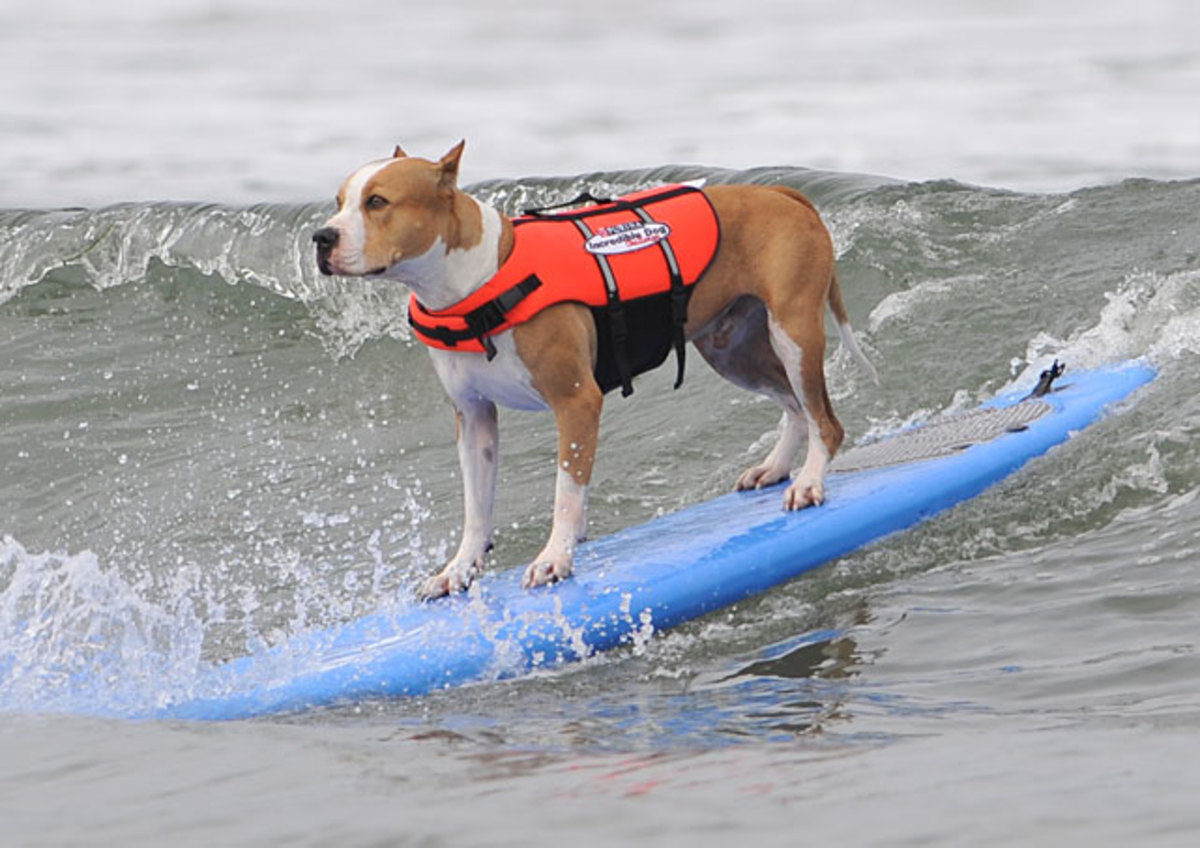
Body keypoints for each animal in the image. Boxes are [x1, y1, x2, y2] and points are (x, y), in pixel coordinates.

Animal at [309, 142, 873, 599]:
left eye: (377, 202)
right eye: (338, 202)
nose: (321, 237)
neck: (477, 281)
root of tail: (781, 193)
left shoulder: (576, 401)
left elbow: (566, 490)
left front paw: (554, 557)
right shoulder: (474, 420)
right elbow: (476, 507)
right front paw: (459, 569)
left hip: (794, 334)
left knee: (824, 419)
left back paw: (809, 481)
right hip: (730, 349)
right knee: (795, 406)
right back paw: (775, 467)